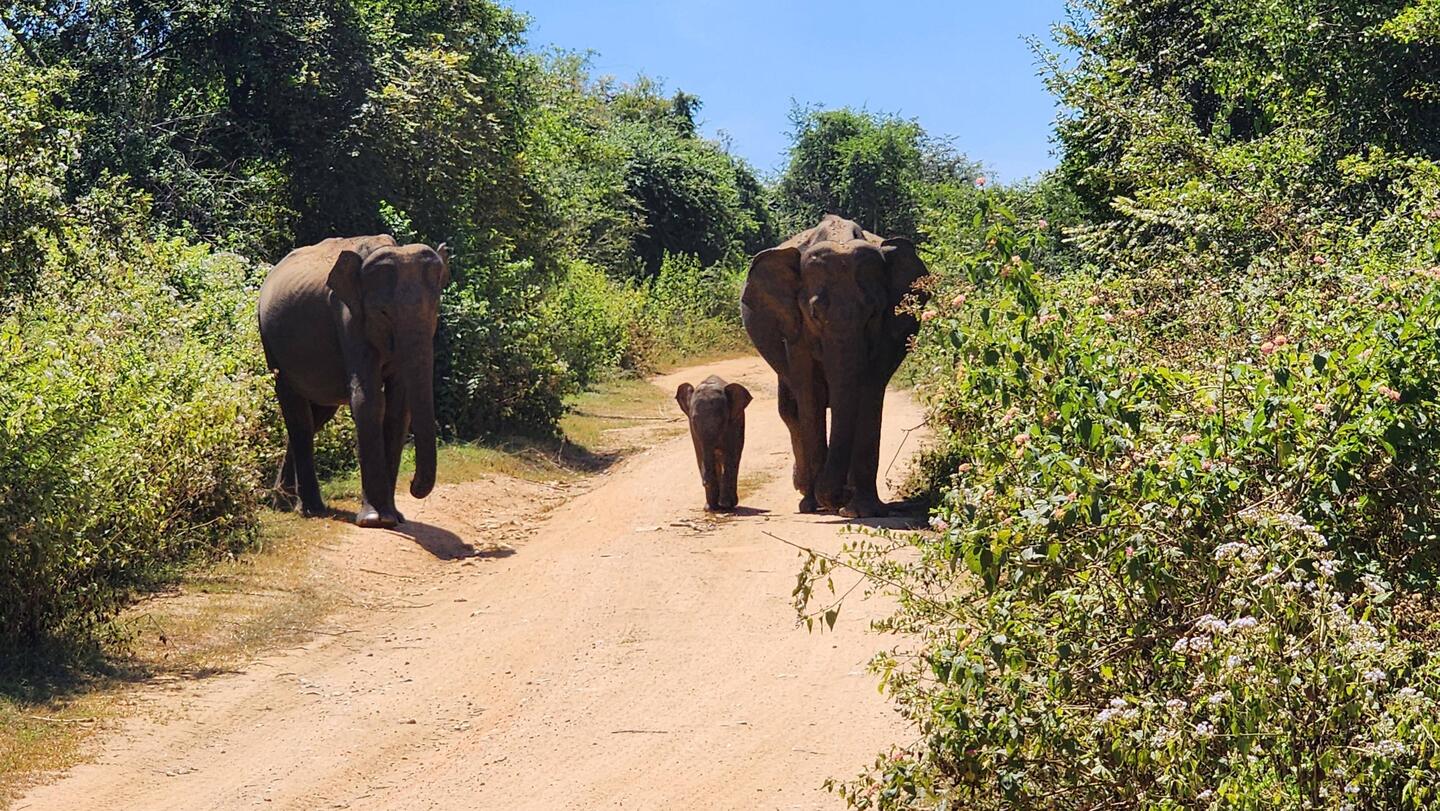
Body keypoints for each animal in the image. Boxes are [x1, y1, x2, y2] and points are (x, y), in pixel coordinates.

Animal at [258, 235, 450, 529]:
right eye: (383, 313)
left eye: (435, 309)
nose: (414, 486)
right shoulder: (348, 316)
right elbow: (369, 399)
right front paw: (375, 520)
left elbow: (398, 407)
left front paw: (394, 517)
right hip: (272, 345)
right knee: (298, 415)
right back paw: (311, 509)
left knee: (316, 417)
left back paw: (283, 502)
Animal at [675, 375, 753, 511]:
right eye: (694, 419)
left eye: (722, 420)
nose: (704, 482)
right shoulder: (693, 430)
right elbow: (700, 455)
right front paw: (711, 508)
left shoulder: (734, 423)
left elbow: (731, 454)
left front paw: (725, 505)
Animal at [740, 215, 929, 518]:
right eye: (815, 314)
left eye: (873, 312)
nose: (840, 495)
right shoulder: (794, 327)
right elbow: (810, 395)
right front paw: (820, 504)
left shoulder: (887, 329)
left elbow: (869, 391)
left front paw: (863, 510)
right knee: (790, 410)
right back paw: (808, 500)